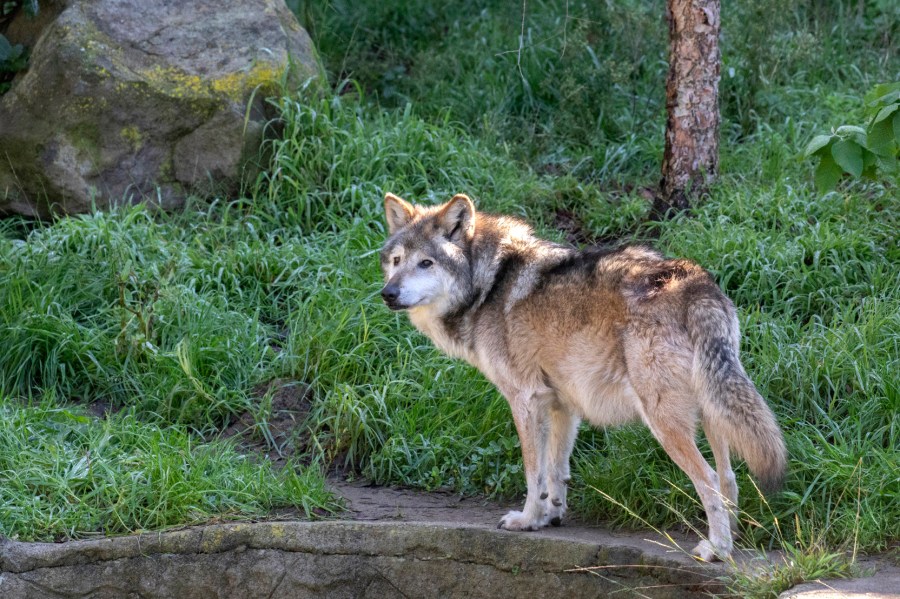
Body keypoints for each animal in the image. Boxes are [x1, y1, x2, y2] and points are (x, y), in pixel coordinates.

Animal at [376, 193, 784, 564]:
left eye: (425, 263)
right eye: (397, 262)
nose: (388, 293)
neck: (487, 284)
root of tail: (695, 283)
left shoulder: (525, 400)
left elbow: (534, 473)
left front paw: (526, 520)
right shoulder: (562, 405)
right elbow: (556, 470)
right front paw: (551, 515)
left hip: (665, 421)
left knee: (710, 480)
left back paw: (717, 550)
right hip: (714, 412)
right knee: (729, 478)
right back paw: (729, 540)